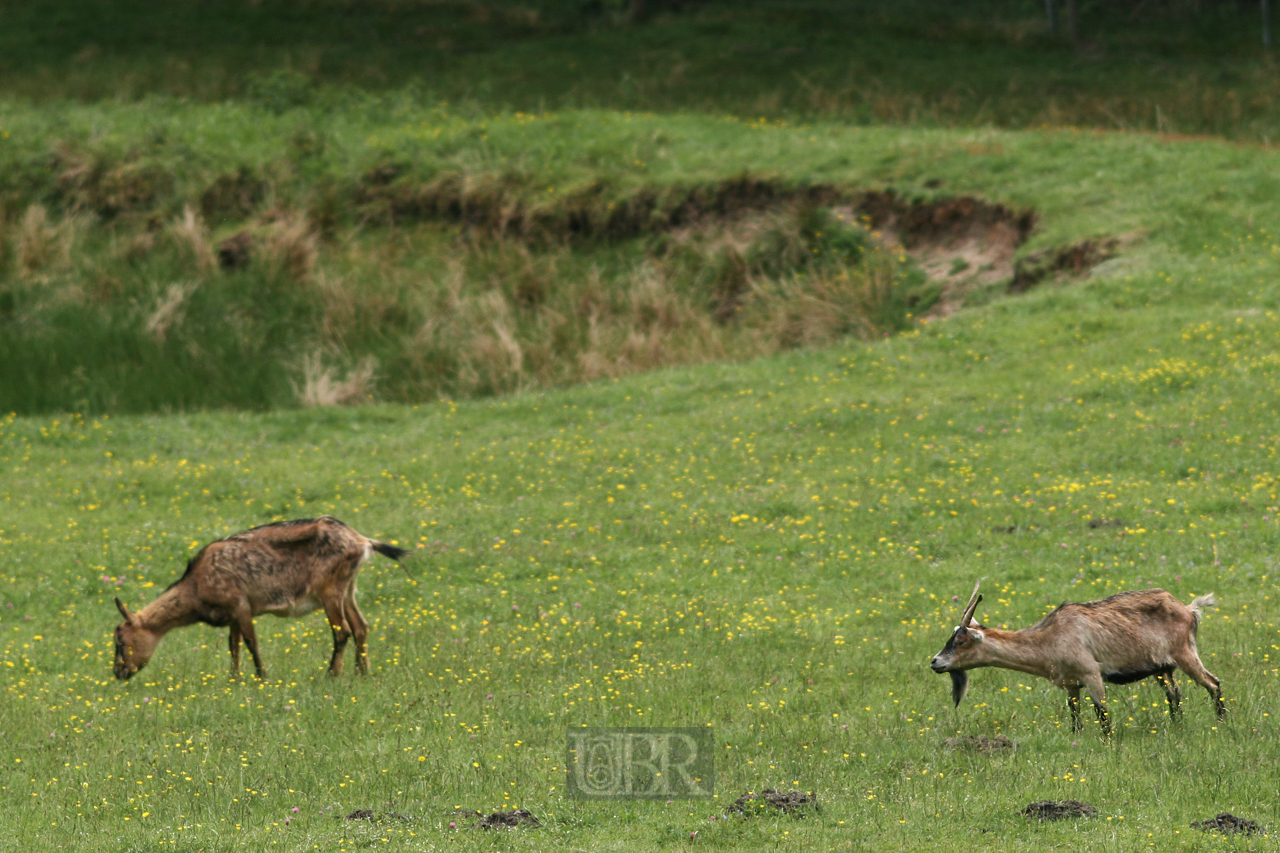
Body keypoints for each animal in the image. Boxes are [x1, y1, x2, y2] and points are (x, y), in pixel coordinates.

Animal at [114, 514, 407, 681]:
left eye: (120, 640)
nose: (118, 672)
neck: (196, 585)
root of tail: (362, 541)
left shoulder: (241, 605)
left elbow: (250, 642)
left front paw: (262, 676)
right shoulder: (231, 614)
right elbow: (233, 645)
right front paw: (233, 678)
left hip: (329, 590)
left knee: (342, 630)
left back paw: (331, 675)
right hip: (348, 588)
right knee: (360, 626)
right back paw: (362, 673)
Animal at [936, 578, 1223, 732]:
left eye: (960, 641)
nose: (934, 662)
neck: (1050, 637)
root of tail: (1188, 609)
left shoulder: (1091, 673)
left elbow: (1102, 714)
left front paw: (1107, 744)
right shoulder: (1071, 684)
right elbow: (1075, 716)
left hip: (1185, 653)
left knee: (1213, 683)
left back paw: (1222, 722)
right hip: (1162, 667)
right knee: (1174, 693)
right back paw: (1177, 726)